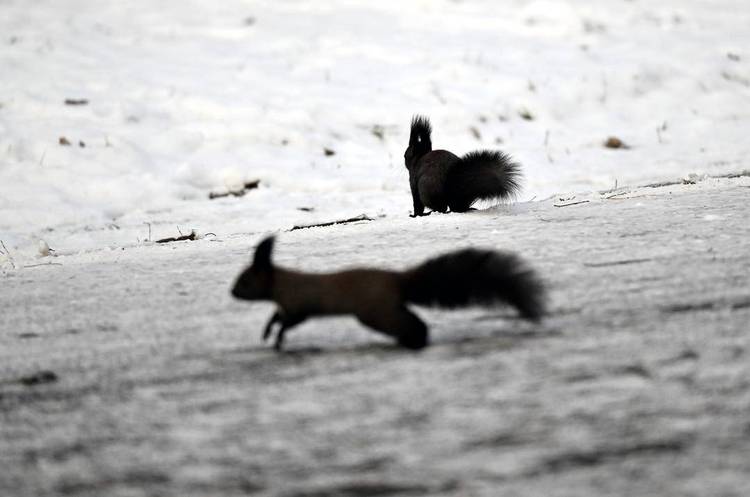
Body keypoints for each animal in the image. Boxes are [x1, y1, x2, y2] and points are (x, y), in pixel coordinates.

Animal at [229, 235, 548, 348]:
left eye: (245, 282)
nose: (231, 292)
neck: (283, 283)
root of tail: (398, 281)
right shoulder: (287, 305)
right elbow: (276, 317)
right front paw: (268, 332)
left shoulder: (300, 305)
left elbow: (288, 321)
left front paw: (277, 337)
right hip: (387, 309)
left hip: (376, 312)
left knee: (410, 324)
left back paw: (415, 340)